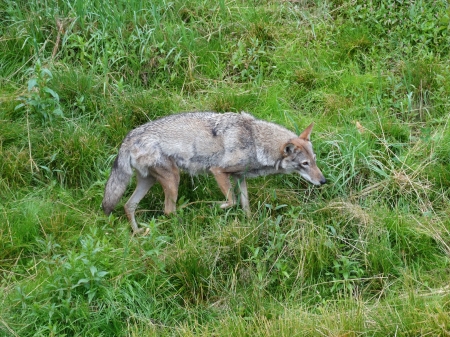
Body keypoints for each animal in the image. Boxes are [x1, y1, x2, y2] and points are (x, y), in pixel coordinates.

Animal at [102, 111, 326, 232]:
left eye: (314, 161)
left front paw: (249, 225)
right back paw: (187, 220)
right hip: (173, 179)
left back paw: (139, 233)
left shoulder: (240, 177)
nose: (323, 181)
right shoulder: (218, 171)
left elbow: (245, 206)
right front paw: (214, 207)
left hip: (149, 181)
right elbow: (231, 201)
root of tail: (129, 137)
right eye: (304, 164)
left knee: (129, 206)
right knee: (168, 210)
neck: (255, 140)